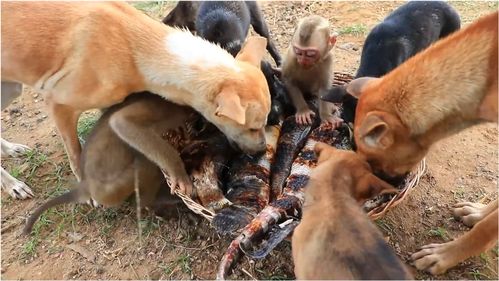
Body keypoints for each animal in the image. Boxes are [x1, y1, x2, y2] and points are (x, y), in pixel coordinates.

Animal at [1, 1, 272, 195]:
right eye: (252, 127)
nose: (262, 149)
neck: (135, 47)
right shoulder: (59, 105)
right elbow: (77, 155)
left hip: (10, 88)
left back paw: (10, 149)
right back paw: (13, 184)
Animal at [21, 92, 209, 234]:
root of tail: (85, 186)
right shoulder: (161, 107)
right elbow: (122, 123)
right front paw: (179, 173)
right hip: (113, 189)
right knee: (145, 166)